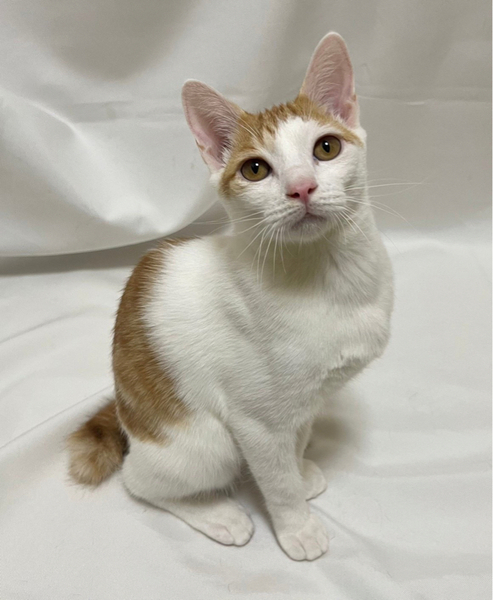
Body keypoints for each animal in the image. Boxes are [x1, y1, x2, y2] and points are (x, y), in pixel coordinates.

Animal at [68, 32, 394, 561]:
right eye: (255, 169)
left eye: (326, 147)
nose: (302, 187)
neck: (325, 279)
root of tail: (123, 412)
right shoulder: (254, 421)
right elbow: (275, 479)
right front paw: (296, 526)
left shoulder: (305, 402)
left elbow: (296, 442)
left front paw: (301, 473)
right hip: (206, 441)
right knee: (140, 481)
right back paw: (217, 514)